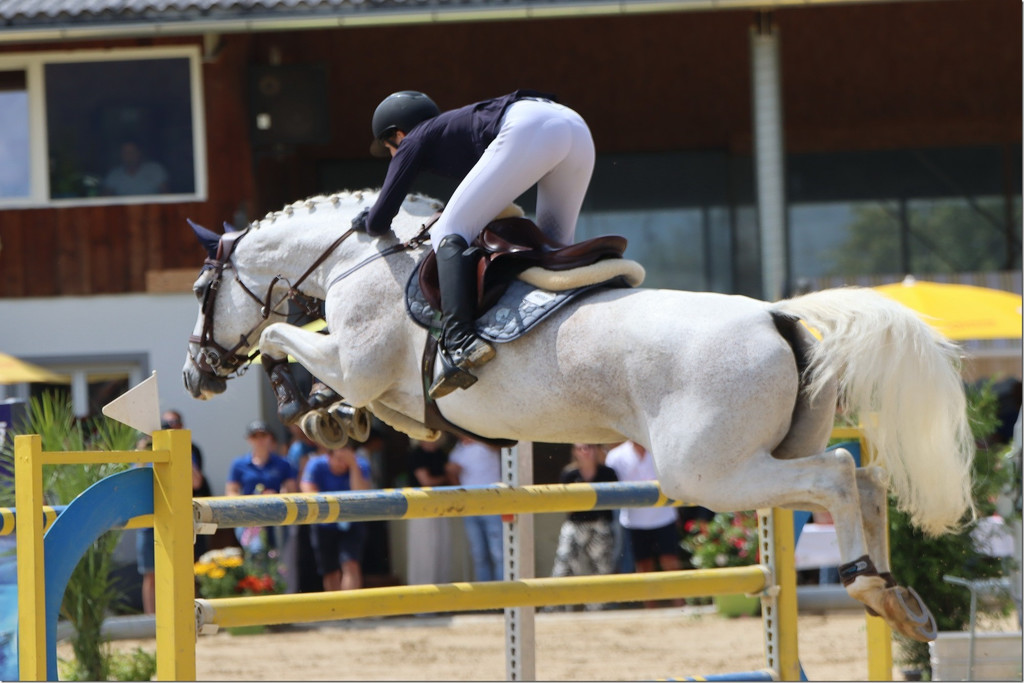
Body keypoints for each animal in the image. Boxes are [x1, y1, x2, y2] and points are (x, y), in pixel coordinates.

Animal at [182, 189, 975, 642]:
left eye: (199, 290)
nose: (194, 374)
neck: (361, 257)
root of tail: (779, 316)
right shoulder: (390, 390)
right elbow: (379, 409)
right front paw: (332, 418)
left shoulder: (357, 358)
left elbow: (283, 341)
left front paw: (299, 400)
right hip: (761, 457)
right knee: (865, 478)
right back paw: (899, 598)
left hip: (710, 473)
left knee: (839, 473)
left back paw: (869, 584)